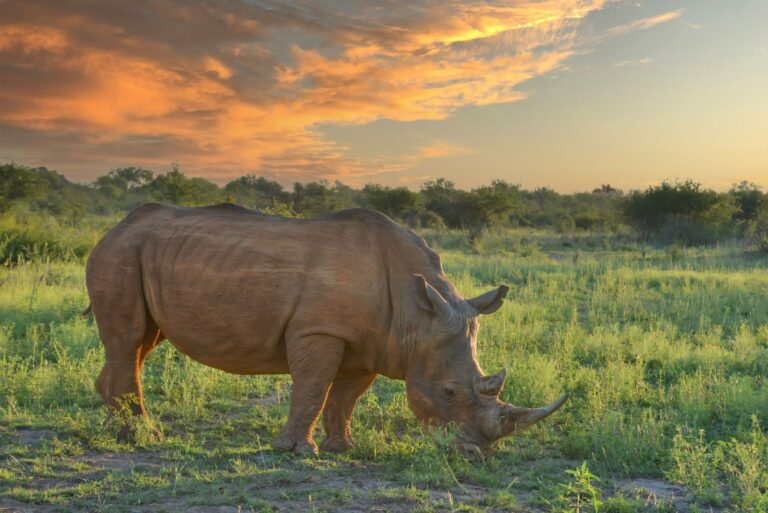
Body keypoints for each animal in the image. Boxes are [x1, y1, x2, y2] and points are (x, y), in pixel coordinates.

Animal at [85, 203, 568, 454]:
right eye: (448, 393)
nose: (476, 454)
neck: (417, 313)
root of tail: (116, 225)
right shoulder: (319, 331)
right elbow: (314, 387)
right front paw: (297, 452)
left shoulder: (376, 342)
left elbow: (345, 396)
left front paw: (343, 448)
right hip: (121, 252)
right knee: (129, 339)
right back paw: (140, 436)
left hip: (144, 254)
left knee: (140, 343)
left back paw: (114, 425)